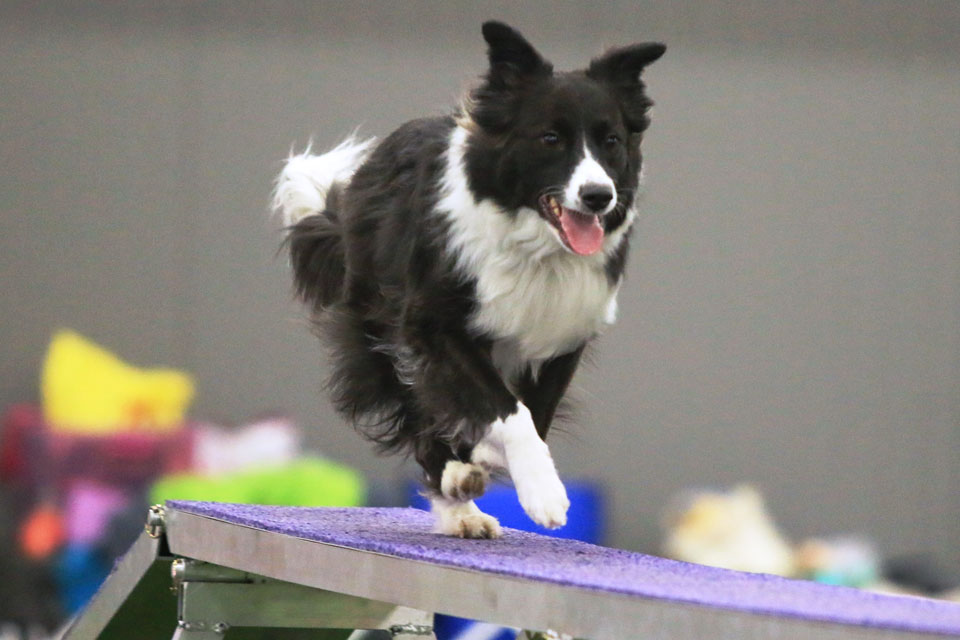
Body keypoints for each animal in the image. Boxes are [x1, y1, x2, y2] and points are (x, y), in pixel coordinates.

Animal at [276, 22, 668, 536]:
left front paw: (498, 459)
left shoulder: (564, 335)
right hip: (378, 323)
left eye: (612, 141)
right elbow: (508, 410)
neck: (536, 248)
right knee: (413, 403)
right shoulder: (434, 321)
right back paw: (456, 488)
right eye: (550, 138)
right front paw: (543, 494)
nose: (599, 196)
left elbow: (534, 411)